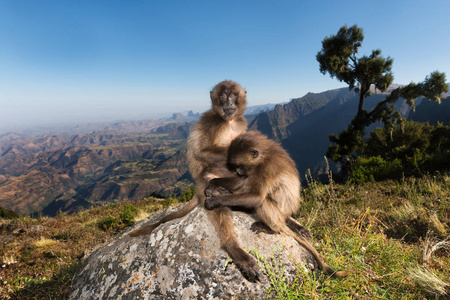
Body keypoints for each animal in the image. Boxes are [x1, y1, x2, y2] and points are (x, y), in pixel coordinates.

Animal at [130, 81, 260, 278]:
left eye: (232, 95)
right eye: (223, 96)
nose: (229, 103)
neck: (228, 122)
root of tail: (198, 188)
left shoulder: (240, 123)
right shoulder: (211, 122)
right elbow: (201, 152)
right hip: (206, 181)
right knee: (216, 198)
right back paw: (233, 246)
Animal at [206, 132, 350, 278]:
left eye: (239, 165)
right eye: (235, 167)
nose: (238, 171)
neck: (263, 157)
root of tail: (283, 218)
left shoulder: (265, 169)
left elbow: (257, 197)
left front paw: (216, 200)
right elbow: (239, 182)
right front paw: (213, 184)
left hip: (278, 215)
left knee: (263, 202)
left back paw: (271, 228)